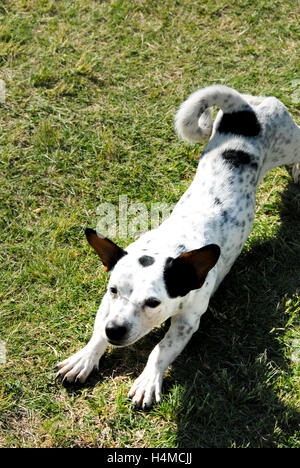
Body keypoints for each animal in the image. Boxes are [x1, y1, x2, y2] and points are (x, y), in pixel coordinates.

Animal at [55, 86, 300, 408]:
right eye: (113, 290)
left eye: (153, 303)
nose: (115, 330)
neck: (168, 245)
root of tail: (245, 109)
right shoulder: (107, 305)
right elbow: (96, 333)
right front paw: (85, 358)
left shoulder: (187, 321)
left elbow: (161, 349)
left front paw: (148, 379)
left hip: (291, 143)